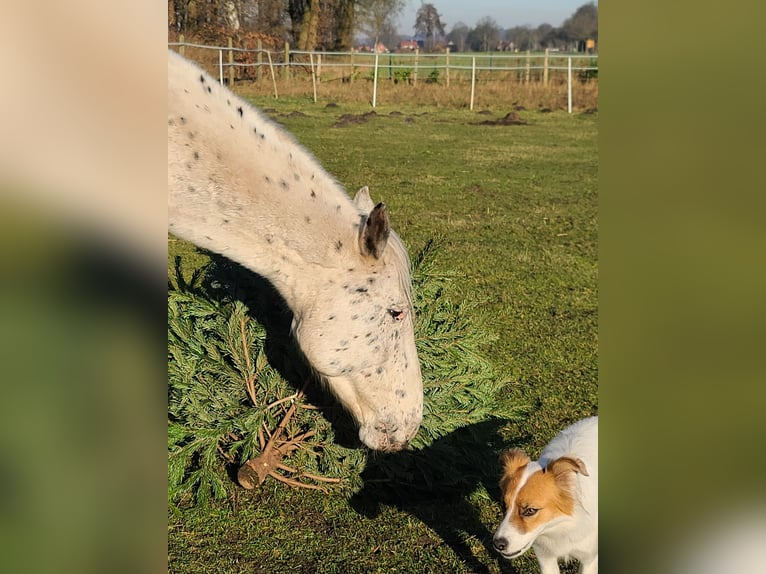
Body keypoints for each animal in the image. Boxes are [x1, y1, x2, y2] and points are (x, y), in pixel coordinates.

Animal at [492, 418, 600, 574]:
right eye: (503, 505)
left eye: (530, 510)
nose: (498, 544)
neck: (562, 526)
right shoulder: (545, 556)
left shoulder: (589, 558)